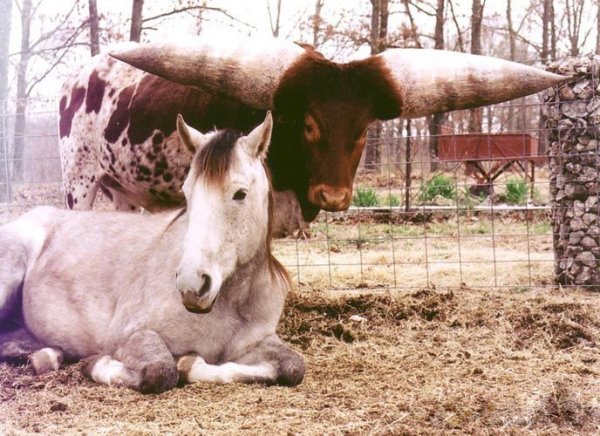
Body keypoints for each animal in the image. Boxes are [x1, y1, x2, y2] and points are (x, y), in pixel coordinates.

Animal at [0, 111, 302, 392]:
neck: (231, 303)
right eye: (187, 193)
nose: (191, 285)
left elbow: (294, 366)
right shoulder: (130, 336)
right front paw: (99, 364)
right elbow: (161, 371)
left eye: (240, 194)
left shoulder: (258, 343)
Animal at [58, 37, 564, 235]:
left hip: (124, 191)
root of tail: (77, 77)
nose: (333, 196)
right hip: (79, 183)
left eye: (363, 131)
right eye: (308, 124)